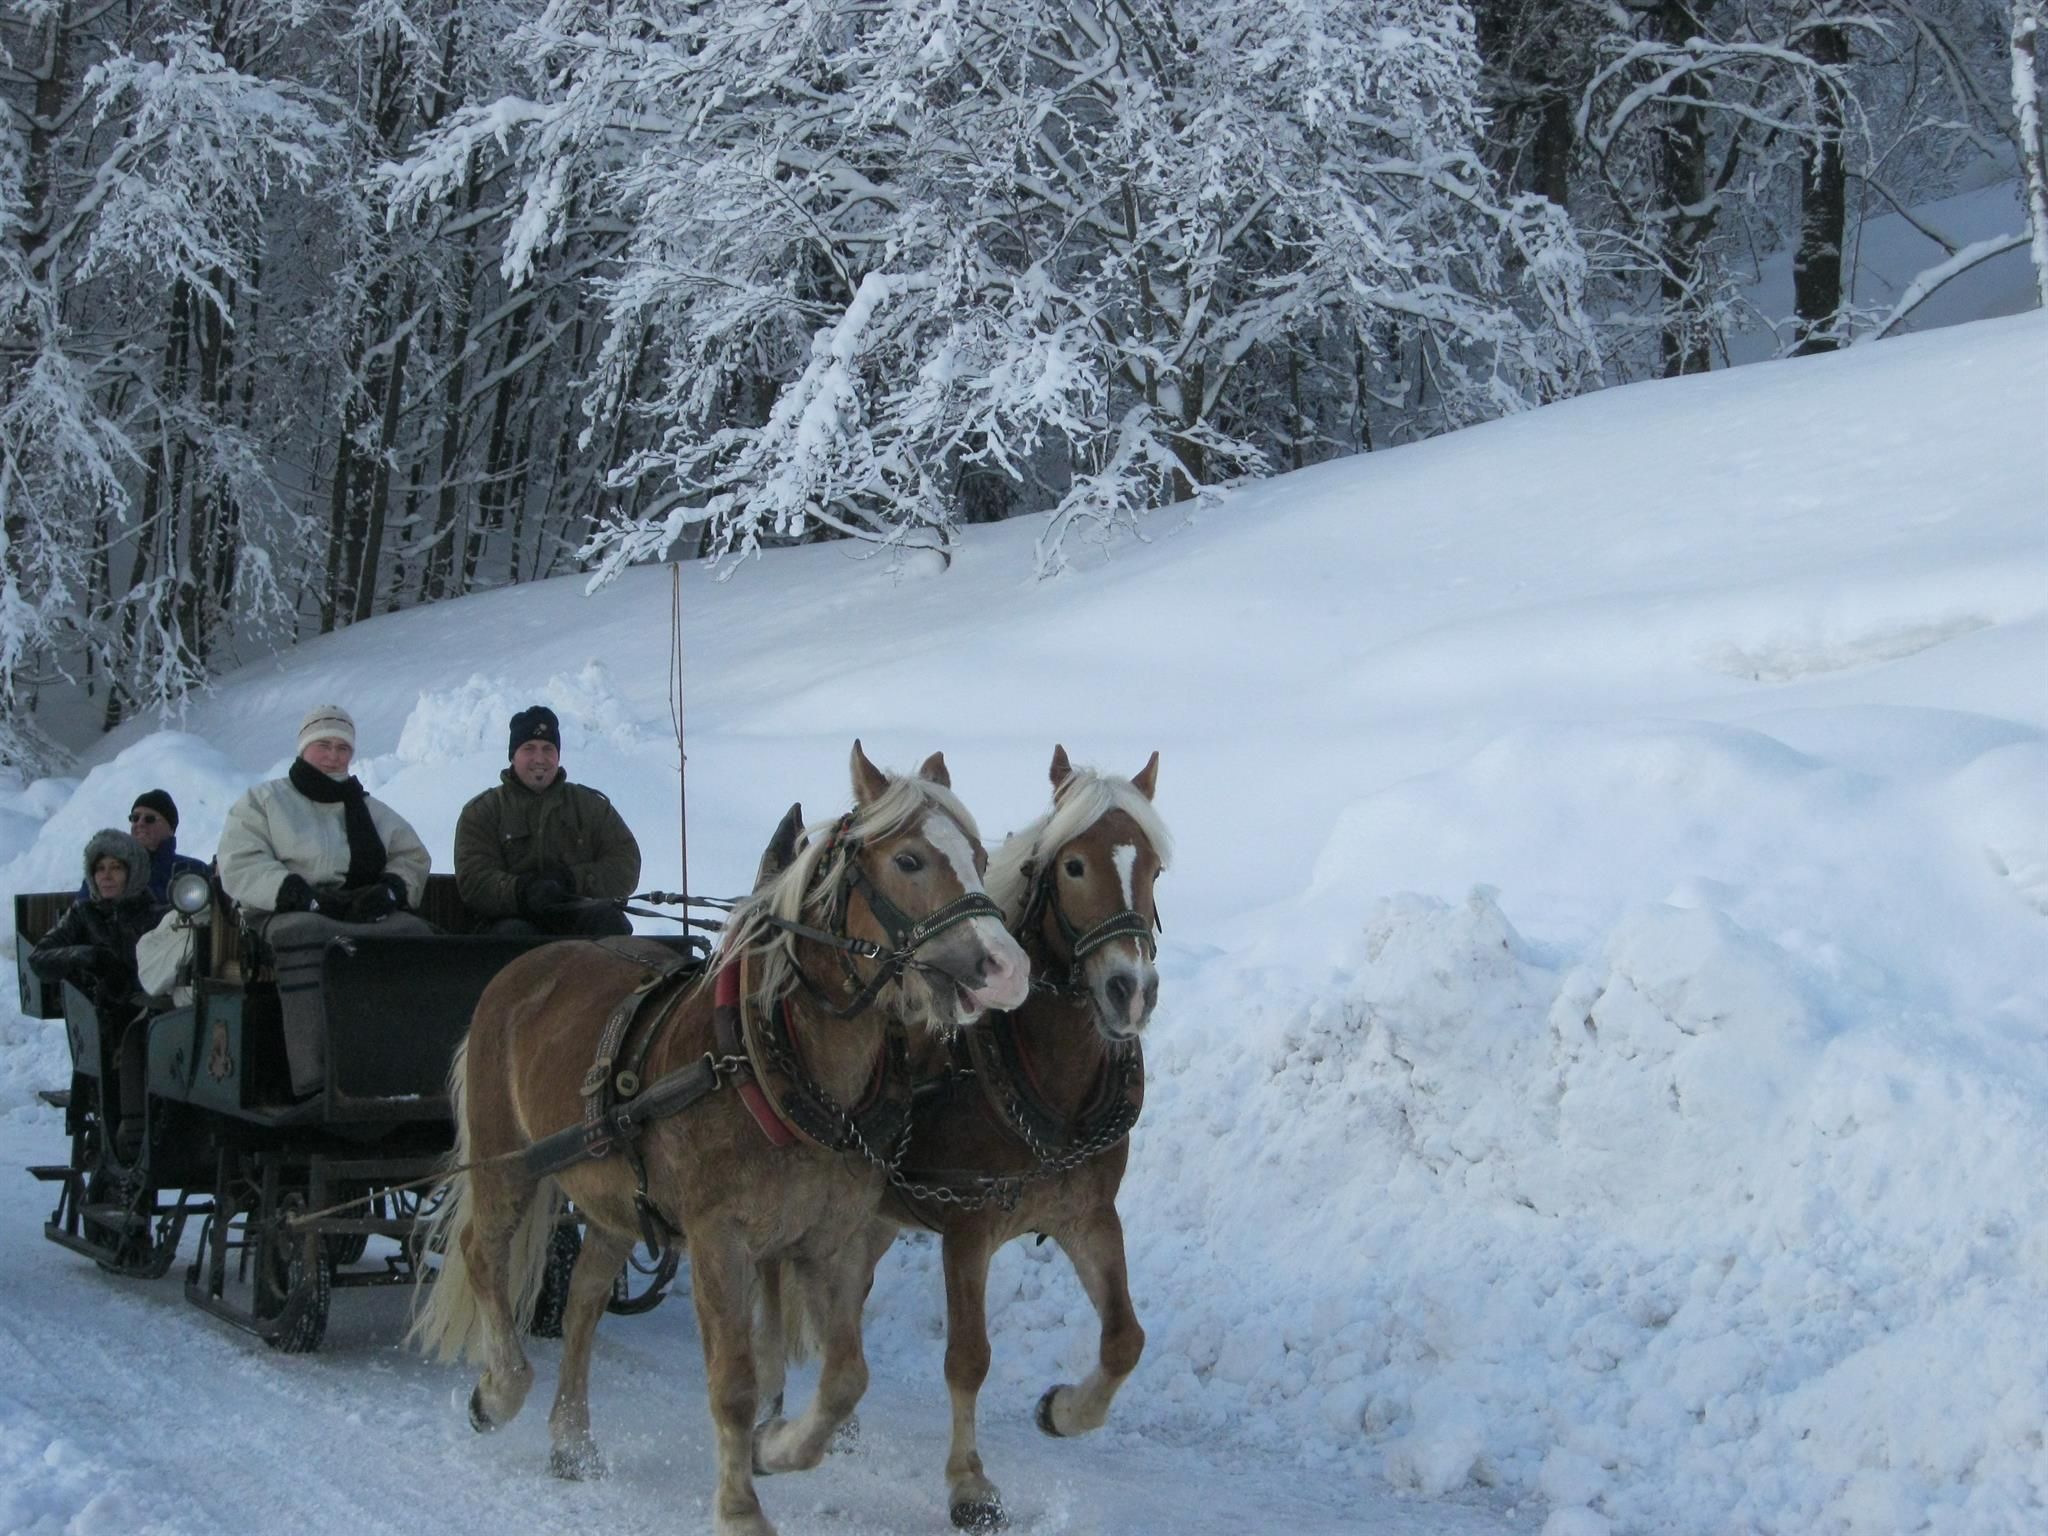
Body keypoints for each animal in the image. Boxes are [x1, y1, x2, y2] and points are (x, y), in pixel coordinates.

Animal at [409, 742, 1030, 1536]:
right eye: (911, 861)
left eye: (980, 857)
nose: (1007, 970)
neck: (773, 1062)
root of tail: (523, 968)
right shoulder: (719, 1241)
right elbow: (735, 1380)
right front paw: (740, 1507)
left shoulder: (826, 1241)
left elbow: (845, 1378)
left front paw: (777, 1446)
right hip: (507, 1166)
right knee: (481, 1254)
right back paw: (501, 1390)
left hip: (613, 1203)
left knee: (583, 1301)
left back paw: (572, 1438)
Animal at [767, 744, 1169, 1531]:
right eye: (1074, 866)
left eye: (1156, 870)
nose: (1130, 992)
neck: (1038, 1068)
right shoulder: (967, 1225)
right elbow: (968, 1358)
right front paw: (969, 1484)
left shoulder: (1088, 1215)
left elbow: (1125, 1340)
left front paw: (1064, 1411)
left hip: (871, 1217)